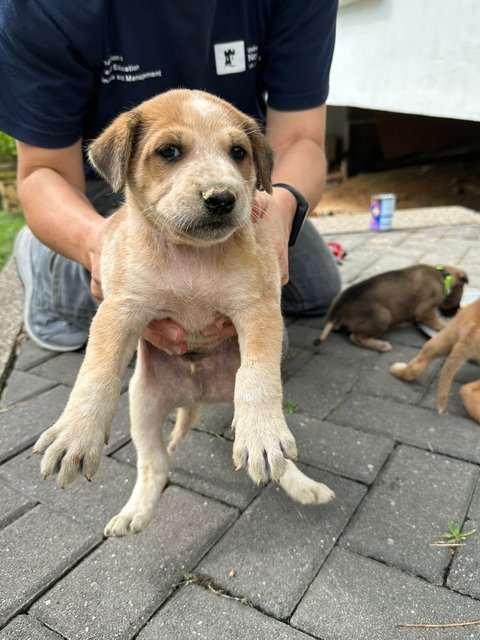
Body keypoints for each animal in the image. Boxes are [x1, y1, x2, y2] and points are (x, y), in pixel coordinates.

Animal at [32, 86, 334, 536]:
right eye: (169, 151)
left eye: (238, 152)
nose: (222, 198)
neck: (191, 258)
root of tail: (198, 393)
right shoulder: (119, 310)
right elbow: (96, 372)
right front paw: (75, 434)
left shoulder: (258, 308)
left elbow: (258, 375)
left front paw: (263, 435)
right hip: (143, 405)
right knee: (154, 464)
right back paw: (135, 512)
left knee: (278, 456)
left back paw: (299, 481)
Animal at [316, 264, 466, 356]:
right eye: (460, 296)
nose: (457, 311)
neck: (443, 276)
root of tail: (341, 303)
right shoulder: (424, 309)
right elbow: (436, 322)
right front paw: (445, 326)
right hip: (382, 316)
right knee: (355, 336)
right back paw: (380, 345)